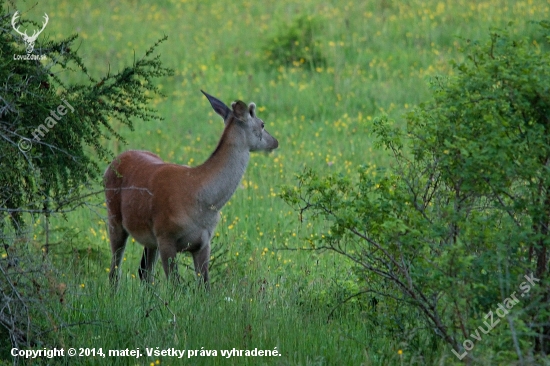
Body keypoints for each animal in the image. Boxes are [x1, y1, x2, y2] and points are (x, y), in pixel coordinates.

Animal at [103, 90, 278, 288]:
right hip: (115, 218)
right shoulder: (165, 235)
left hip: (149, 238)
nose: (275, 142)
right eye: (262, 124)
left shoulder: (203, 242)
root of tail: (112, 163)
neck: (201, 198)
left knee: (144, 272)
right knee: (115, 270)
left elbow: (205, 285)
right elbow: (175, 284)